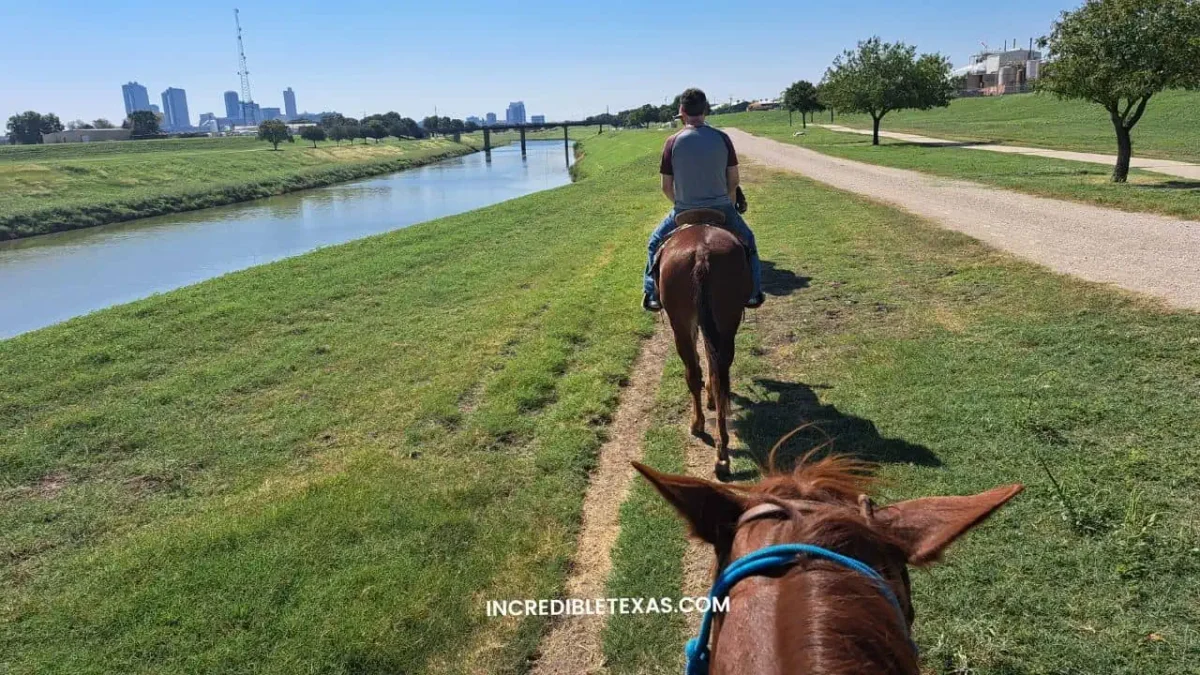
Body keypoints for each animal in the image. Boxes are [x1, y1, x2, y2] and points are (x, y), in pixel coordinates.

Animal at [657, 207, 748, 475]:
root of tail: (701, 253)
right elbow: (709, 359)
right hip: (725, 324)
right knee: (718, 375)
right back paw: (722, 452)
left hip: (683, 326)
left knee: (694, 372)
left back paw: (698, 425)